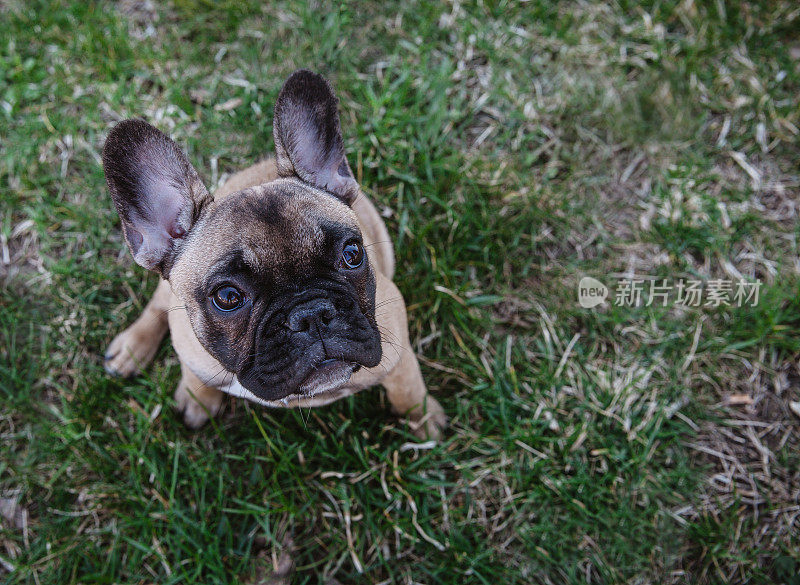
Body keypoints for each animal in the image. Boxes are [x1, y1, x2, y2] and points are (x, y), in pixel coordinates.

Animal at [101, 69, 446, 438]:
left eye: (352, 254)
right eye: (227, 297)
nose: (311, 314)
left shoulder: (399, 350)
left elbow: (407, 389)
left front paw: (423, 420)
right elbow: (194, 374)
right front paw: (198, 398)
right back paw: (132, 348)